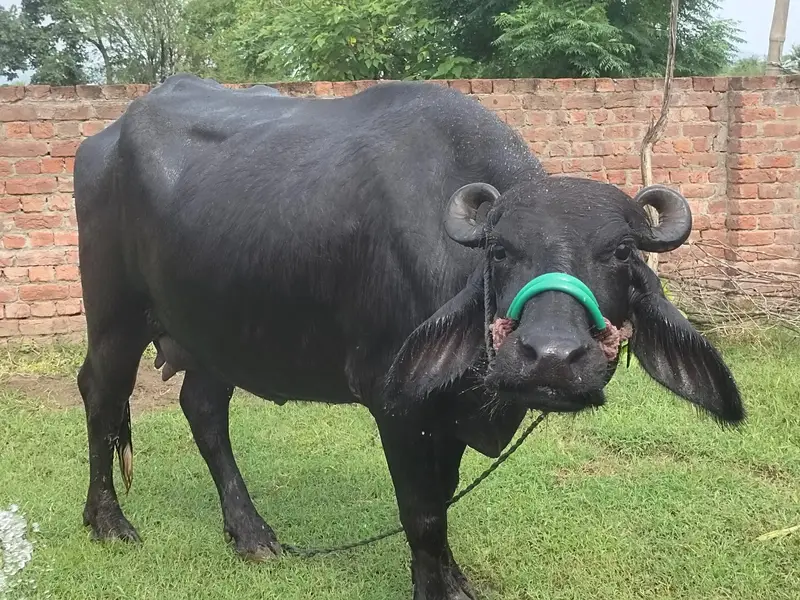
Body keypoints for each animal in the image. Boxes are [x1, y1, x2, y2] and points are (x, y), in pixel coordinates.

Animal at [74, 74, 744, 600]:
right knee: (101, 395)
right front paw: (435, 587)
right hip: (116, 318)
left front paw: (457, 579)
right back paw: (108, 523)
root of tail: (102, 141)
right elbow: (421, 512)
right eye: (500, 251)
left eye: (622, 251)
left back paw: (252, 534)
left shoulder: (447, 411)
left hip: (217, 329)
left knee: (204, 408)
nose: (550, 359)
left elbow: (442, 500)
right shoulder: (397, 405)